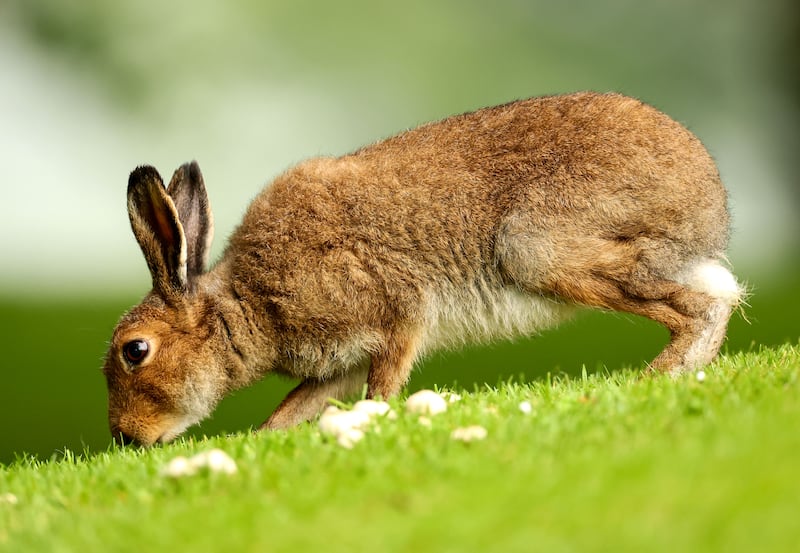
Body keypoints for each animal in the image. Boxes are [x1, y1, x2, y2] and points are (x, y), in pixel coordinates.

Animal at [103, 92, 743, 446]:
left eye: (136, 351)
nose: (126, 438)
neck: (243, 305)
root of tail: (709, 202)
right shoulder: (337, 364)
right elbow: (296, 407)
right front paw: (267, 438)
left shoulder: (395, 316)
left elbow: (382, 386)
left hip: (537, 250)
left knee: (701, 308)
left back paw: (655, 377)